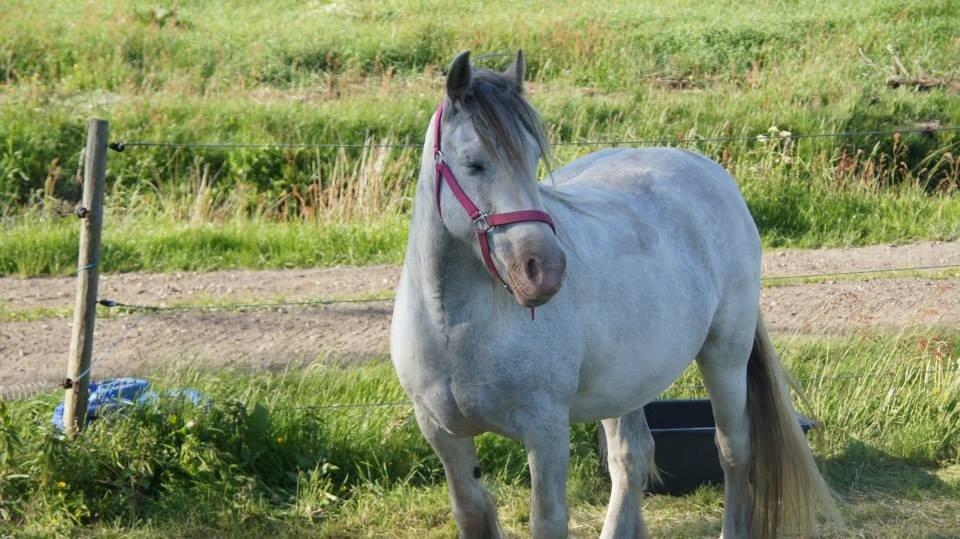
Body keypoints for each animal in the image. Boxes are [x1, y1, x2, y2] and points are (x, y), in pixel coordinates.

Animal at [392, 49, 840, 536]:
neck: (453, 325)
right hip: (626, 382)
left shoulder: (545, 430)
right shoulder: (443, 434)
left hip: (725, 355)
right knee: (632, 457)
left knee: (733, 451)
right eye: (473, 163)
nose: (544, 271)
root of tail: (706, 169)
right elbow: (473, 512)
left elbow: (548, 519)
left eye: (532, 160)